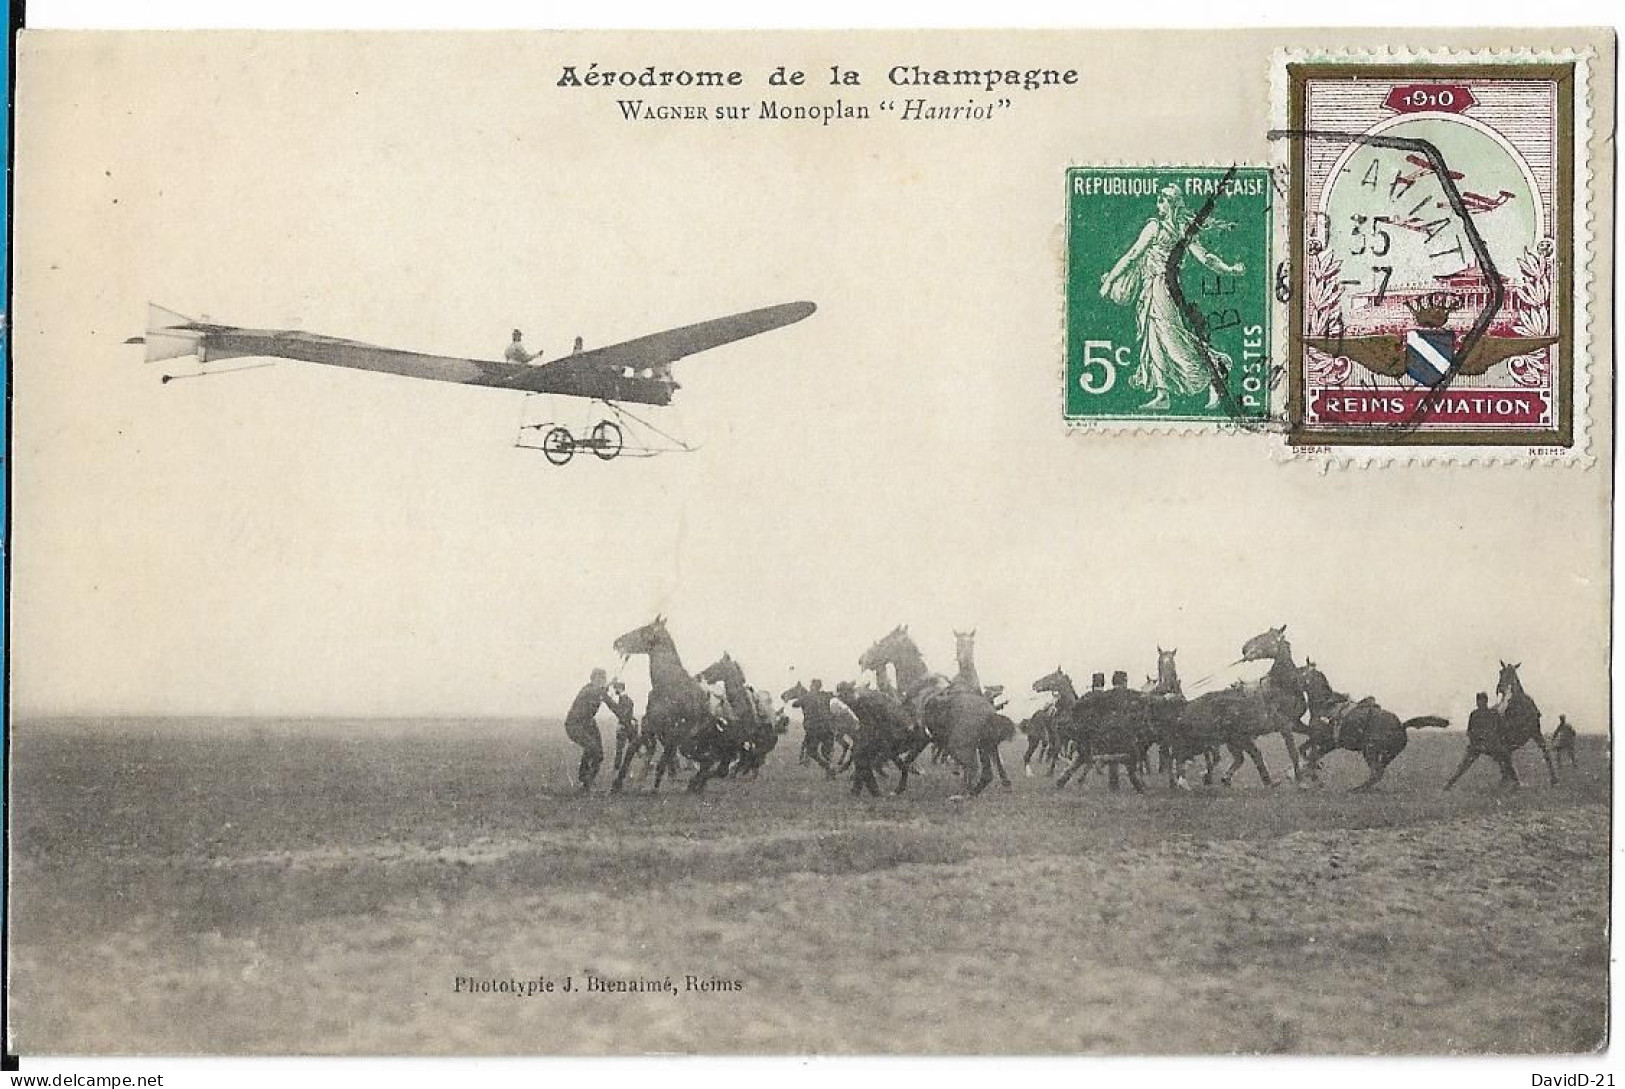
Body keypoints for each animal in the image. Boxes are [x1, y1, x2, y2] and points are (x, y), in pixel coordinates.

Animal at [611, 624, 734, 793]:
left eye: (644, 630)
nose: (617, 643)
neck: (668, 688)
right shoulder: (650, 729)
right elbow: (631, 749)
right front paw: (617, 783)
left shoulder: (672, 736)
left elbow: (662, 762)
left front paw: (653, 789)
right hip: (689, 747)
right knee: (708, 763)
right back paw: (695, 785)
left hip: (693, 746)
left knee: (712, 764)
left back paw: (695, 784)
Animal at [858, 627, 1007, 796]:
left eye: (883, 641)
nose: (861, 659)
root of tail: (989, 710)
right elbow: (899, 758)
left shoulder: (918, 738)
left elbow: (904, 761)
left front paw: (899, 787)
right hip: (982, 745)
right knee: (985, 772)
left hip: (962, 745)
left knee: (973, 766)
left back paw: (963, 794)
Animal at [1293, 656, 1449, 793]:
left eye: (1299, 671)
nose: (1291, 680)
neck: (1325, 705)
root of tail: (1401, 726)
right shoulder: (1324, 742)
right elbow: (1305, 751)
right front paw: (1312, 772)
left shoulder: (1325, 741)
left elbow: (1310, 756)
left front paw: (1314, 776)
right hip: (1385, 756)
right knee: (1378, 773)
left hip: (1370, 750)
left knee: (1376, 774)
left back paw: (1356, 790)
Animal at [1449, 659, 1560, 789]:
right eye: (1500, 671)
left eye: (1513, 673)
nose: (1501, 688)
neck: (1519, 708)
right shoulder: (1507, 739)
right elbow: (1505, 760)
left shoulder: (1535, 731)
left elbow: (1545, 751)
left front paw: (1554, 780)